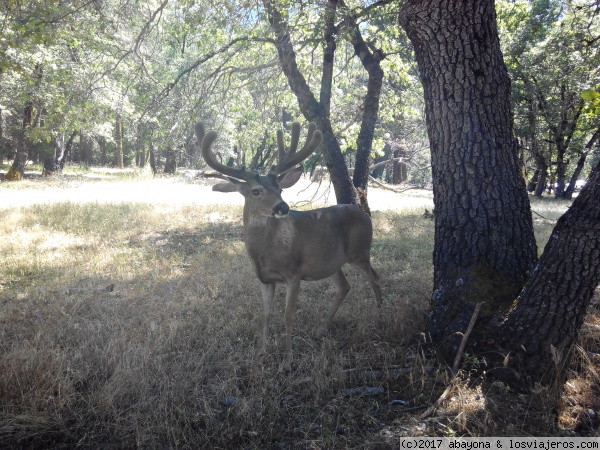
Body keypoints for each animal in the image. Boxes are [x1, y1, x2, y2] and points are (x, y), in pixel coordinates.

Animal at [197, 121, 384, 368]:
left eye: (280, 189)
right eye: (256, 191)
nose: (283, 207)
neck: (264, 252)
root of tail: (364, 213)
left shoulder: (293, 274)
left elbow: (288, 316)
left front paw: (287, 361)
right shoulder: (265, 279)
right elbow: (265, 314)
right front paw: (261, 352)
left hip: (360, 252)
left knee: (375, 278)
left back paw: (381, 317)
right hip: (331, 262)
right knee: (344, 286)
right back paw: (321, 329)